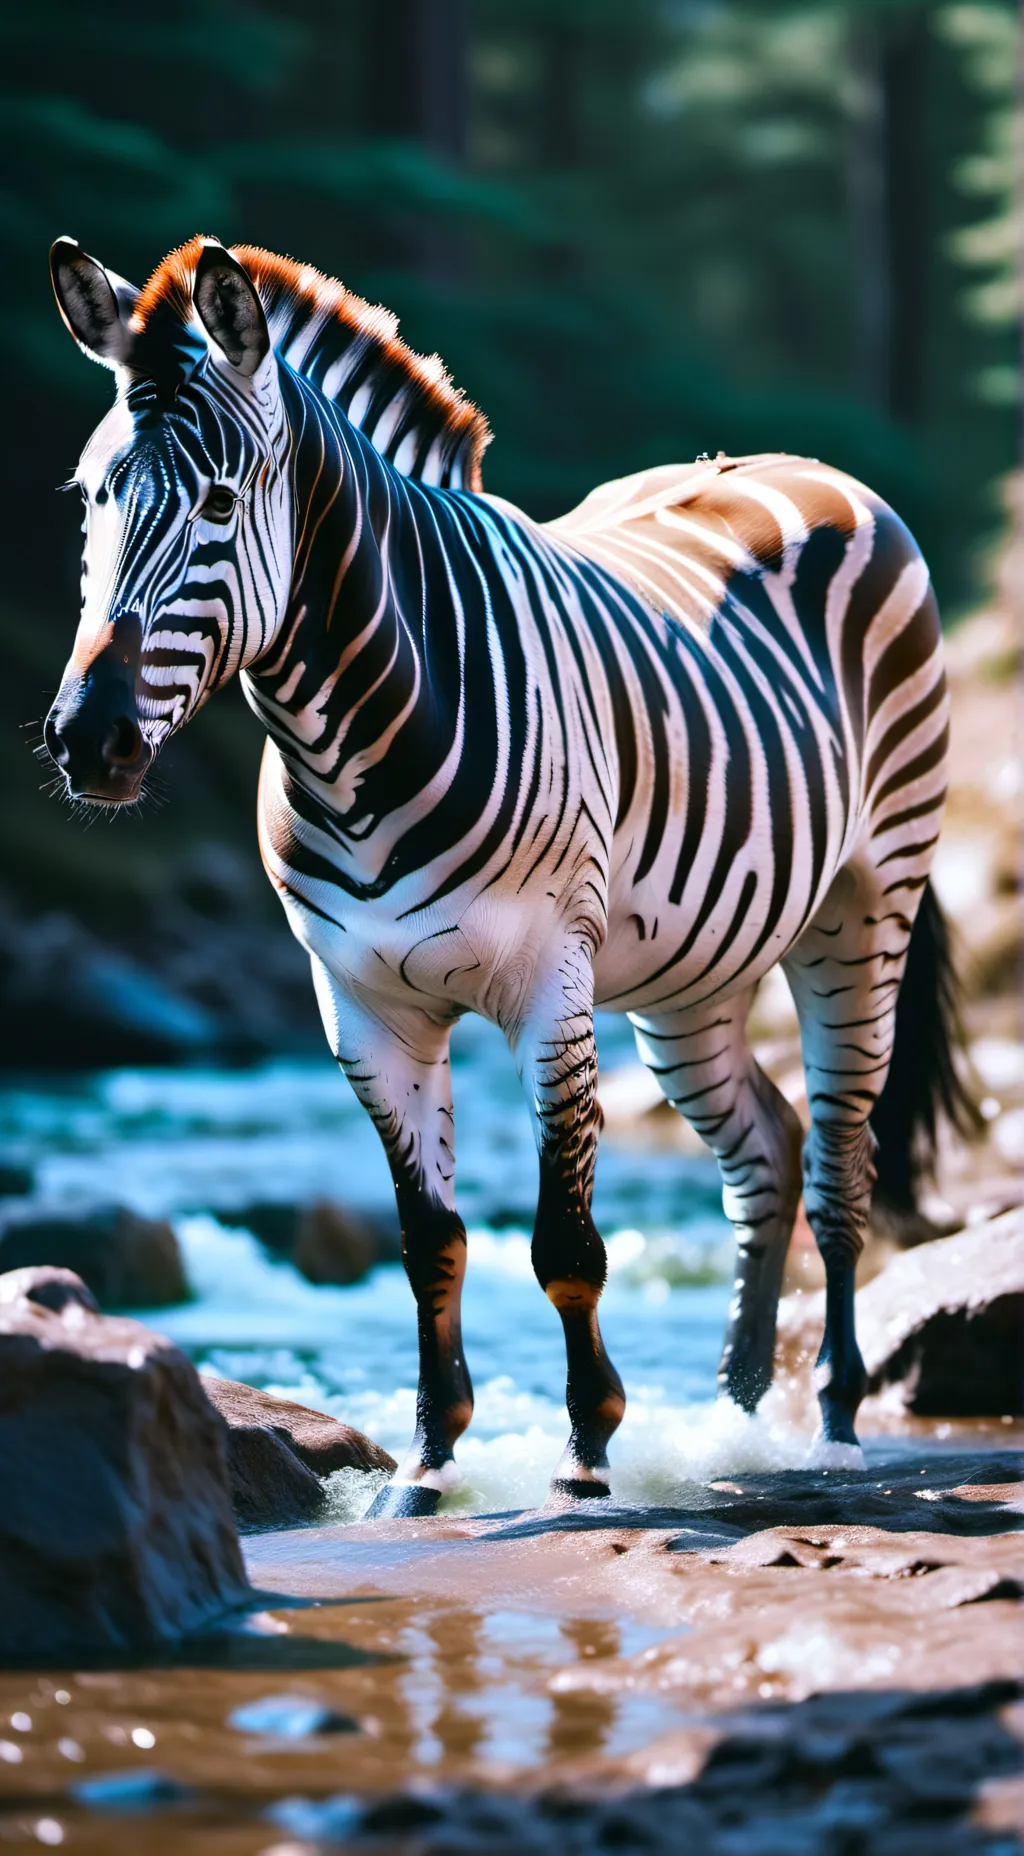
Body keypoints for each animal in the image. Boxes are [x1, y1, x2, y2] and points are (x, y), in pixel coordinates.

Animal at [45, 234, 969, 1516]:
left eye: (222, 503)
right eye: (90, 498)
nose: (89, 742)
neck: (355, 744)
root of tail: (806, 467)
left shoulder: (548, 986)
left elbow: (563, 1242)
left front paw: (586, 1448)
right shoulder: (362, 1007)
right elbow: (428, 1240)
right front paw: (428, 1466)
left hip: (863, 905)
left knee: (843, 1154)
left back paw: (829, 1420)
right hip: (692, 976)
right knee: (766, 1154)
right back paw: (735, 1416)